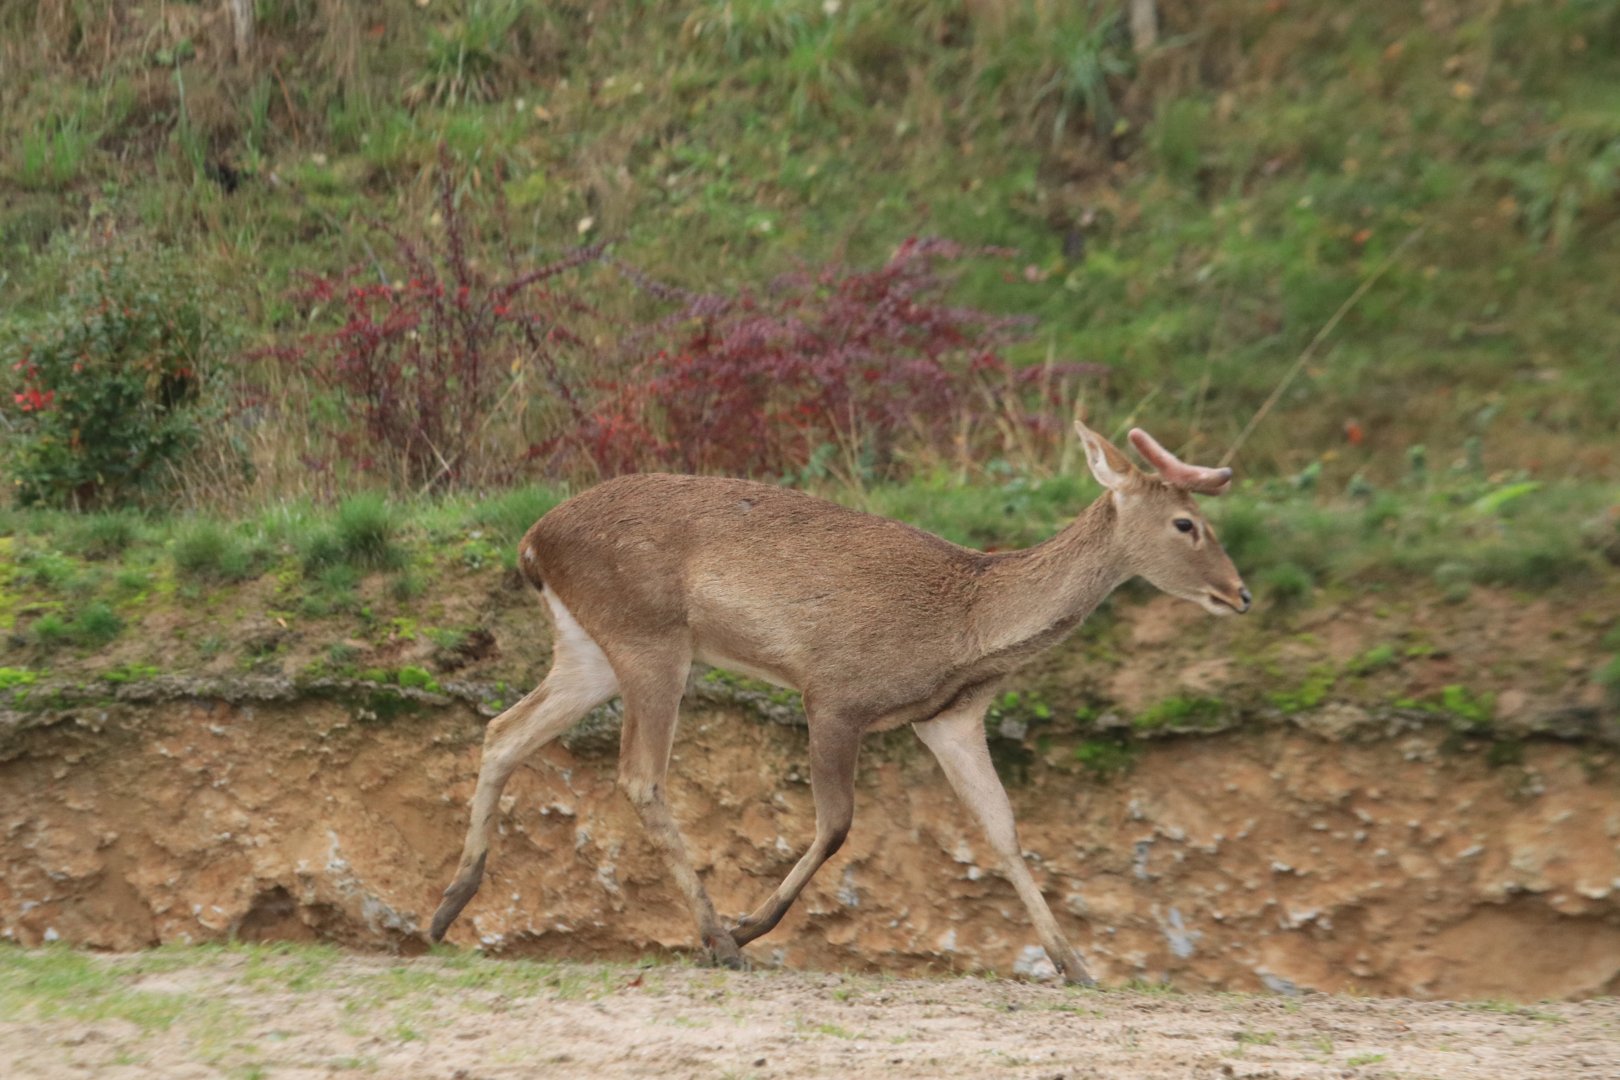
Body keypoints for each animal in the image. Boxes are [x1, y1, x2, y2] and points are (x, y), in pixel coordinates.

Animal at [428, 420, 1250, 985]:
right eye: (1187, 524)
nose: (1241, 593)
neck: (969, 624)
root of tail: (532, 542)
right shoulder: (834, 692)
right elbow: (837, 824)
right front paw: (750, 925)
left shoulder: (951, 718)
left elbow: (1005, 831)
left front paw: (1075, 964)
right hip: (650, 637)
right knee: (639, 776)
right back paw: (717, 941)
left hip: (590, 649)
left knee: (503, 729)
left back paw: (445, 909)